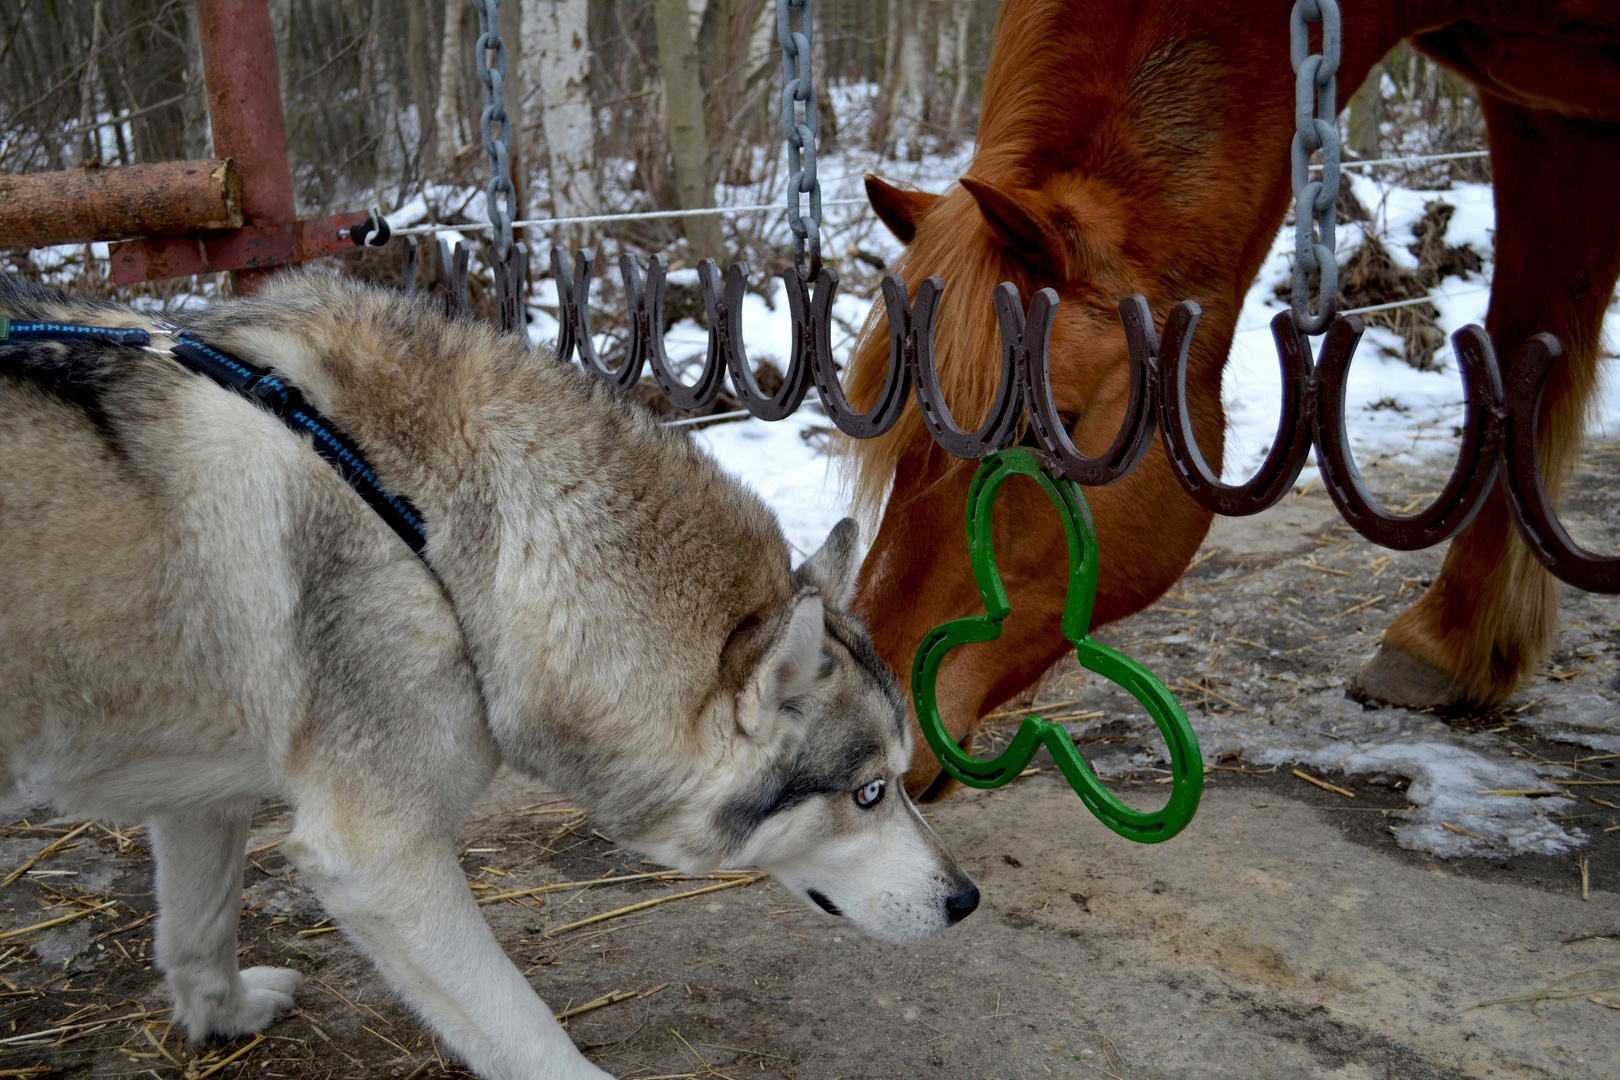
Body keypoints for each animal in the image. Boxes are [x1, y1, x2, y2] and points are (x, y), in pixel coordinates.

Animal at [0, 275, 972, 1080]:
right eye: (870, 792)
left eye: (898, 781)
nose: (966, 900)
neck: (435, 530)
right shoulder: (376, 859)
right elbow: (531, 1039)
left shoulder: (202, 801)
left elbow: (198, 932)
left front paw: (224, 1017)